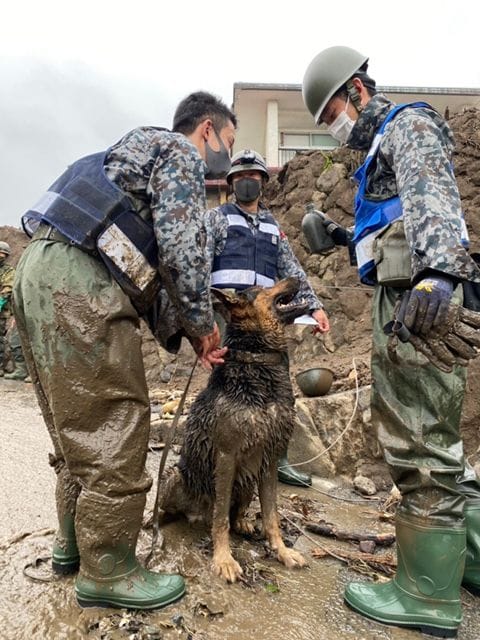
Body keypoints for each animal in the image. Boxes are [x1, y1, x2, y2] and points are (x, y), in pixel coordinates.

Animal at [159, 278, 310, 584]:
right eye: (264, 288)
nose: (297, 277)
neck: (259, 362)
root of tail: (197, 515)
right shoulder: (226, 456)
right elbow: (220, 520)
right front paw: (224, 560)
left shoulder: (269, 459)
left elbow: (272, 516)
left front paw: (282, 552)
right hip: (176, 476)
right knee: (192, 510)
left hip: (248, 482)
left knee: (237, 509)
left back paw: (243, 521)